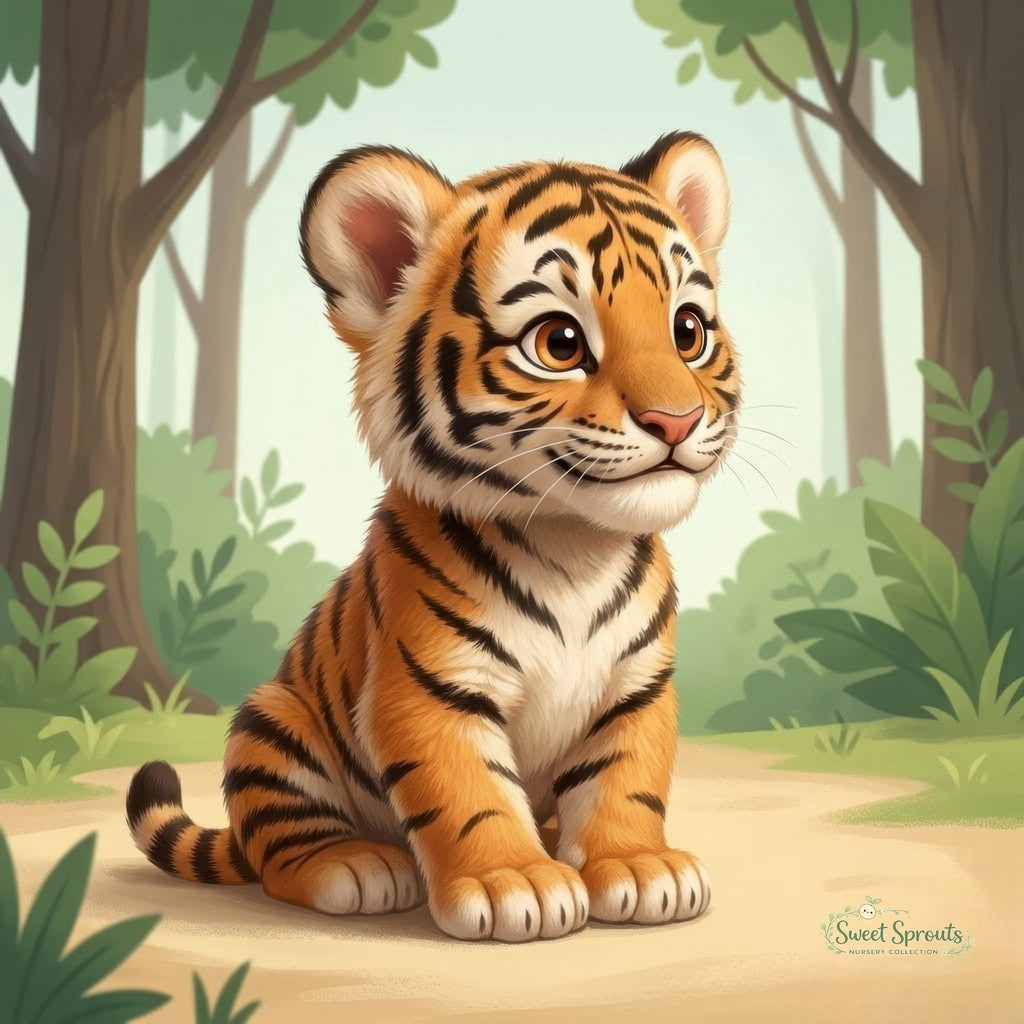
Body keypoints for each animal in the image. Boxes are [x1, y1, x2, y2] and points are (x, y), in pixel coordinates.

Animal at [127, 131, 740, 943]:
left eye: (688, 331)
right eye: (560, 341)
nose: (676, 419)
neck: (576, 545)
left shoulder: (634, 690)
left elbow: (625, 781)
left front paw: (640, 867)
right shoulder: (430, 690)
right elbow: (470, 791)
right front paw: (517, 884)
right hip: (273, 725)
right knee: (279, 849)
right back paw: (356, 866)